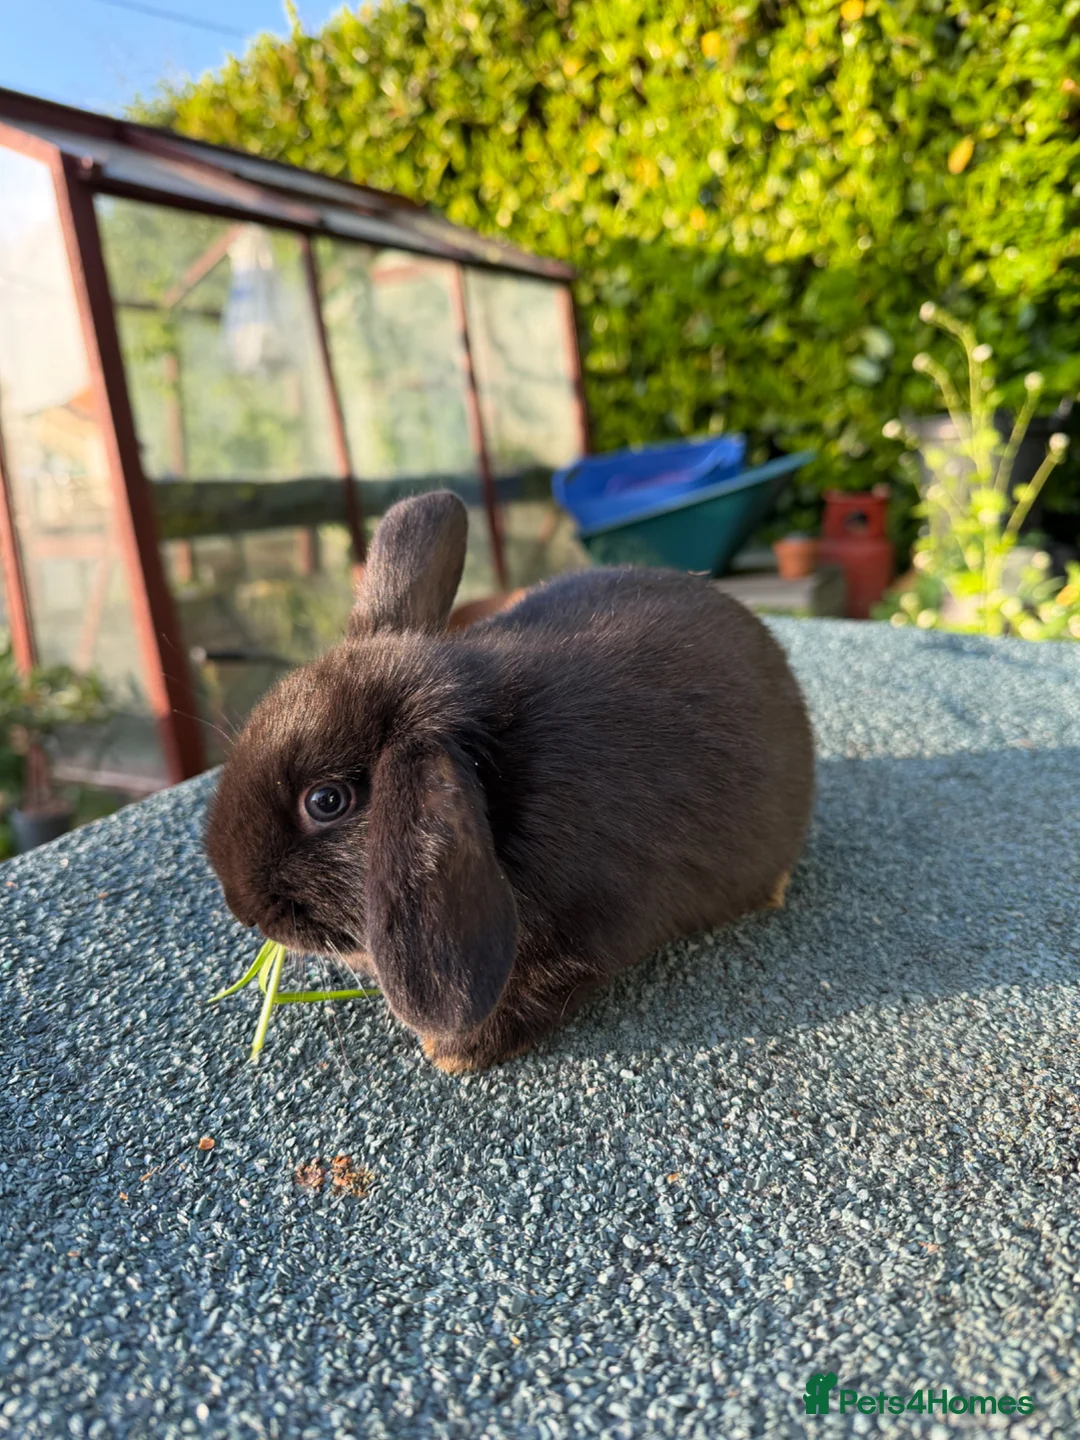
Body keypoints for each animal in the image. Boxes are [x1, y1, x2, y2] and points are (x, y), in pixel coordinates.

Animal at [205, 489, 815, 1073]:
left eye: (327, 801)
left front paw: (453, 1052)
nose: (243, 909)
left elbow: (545, 987)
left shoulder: (587, 935)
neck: (499, 787)